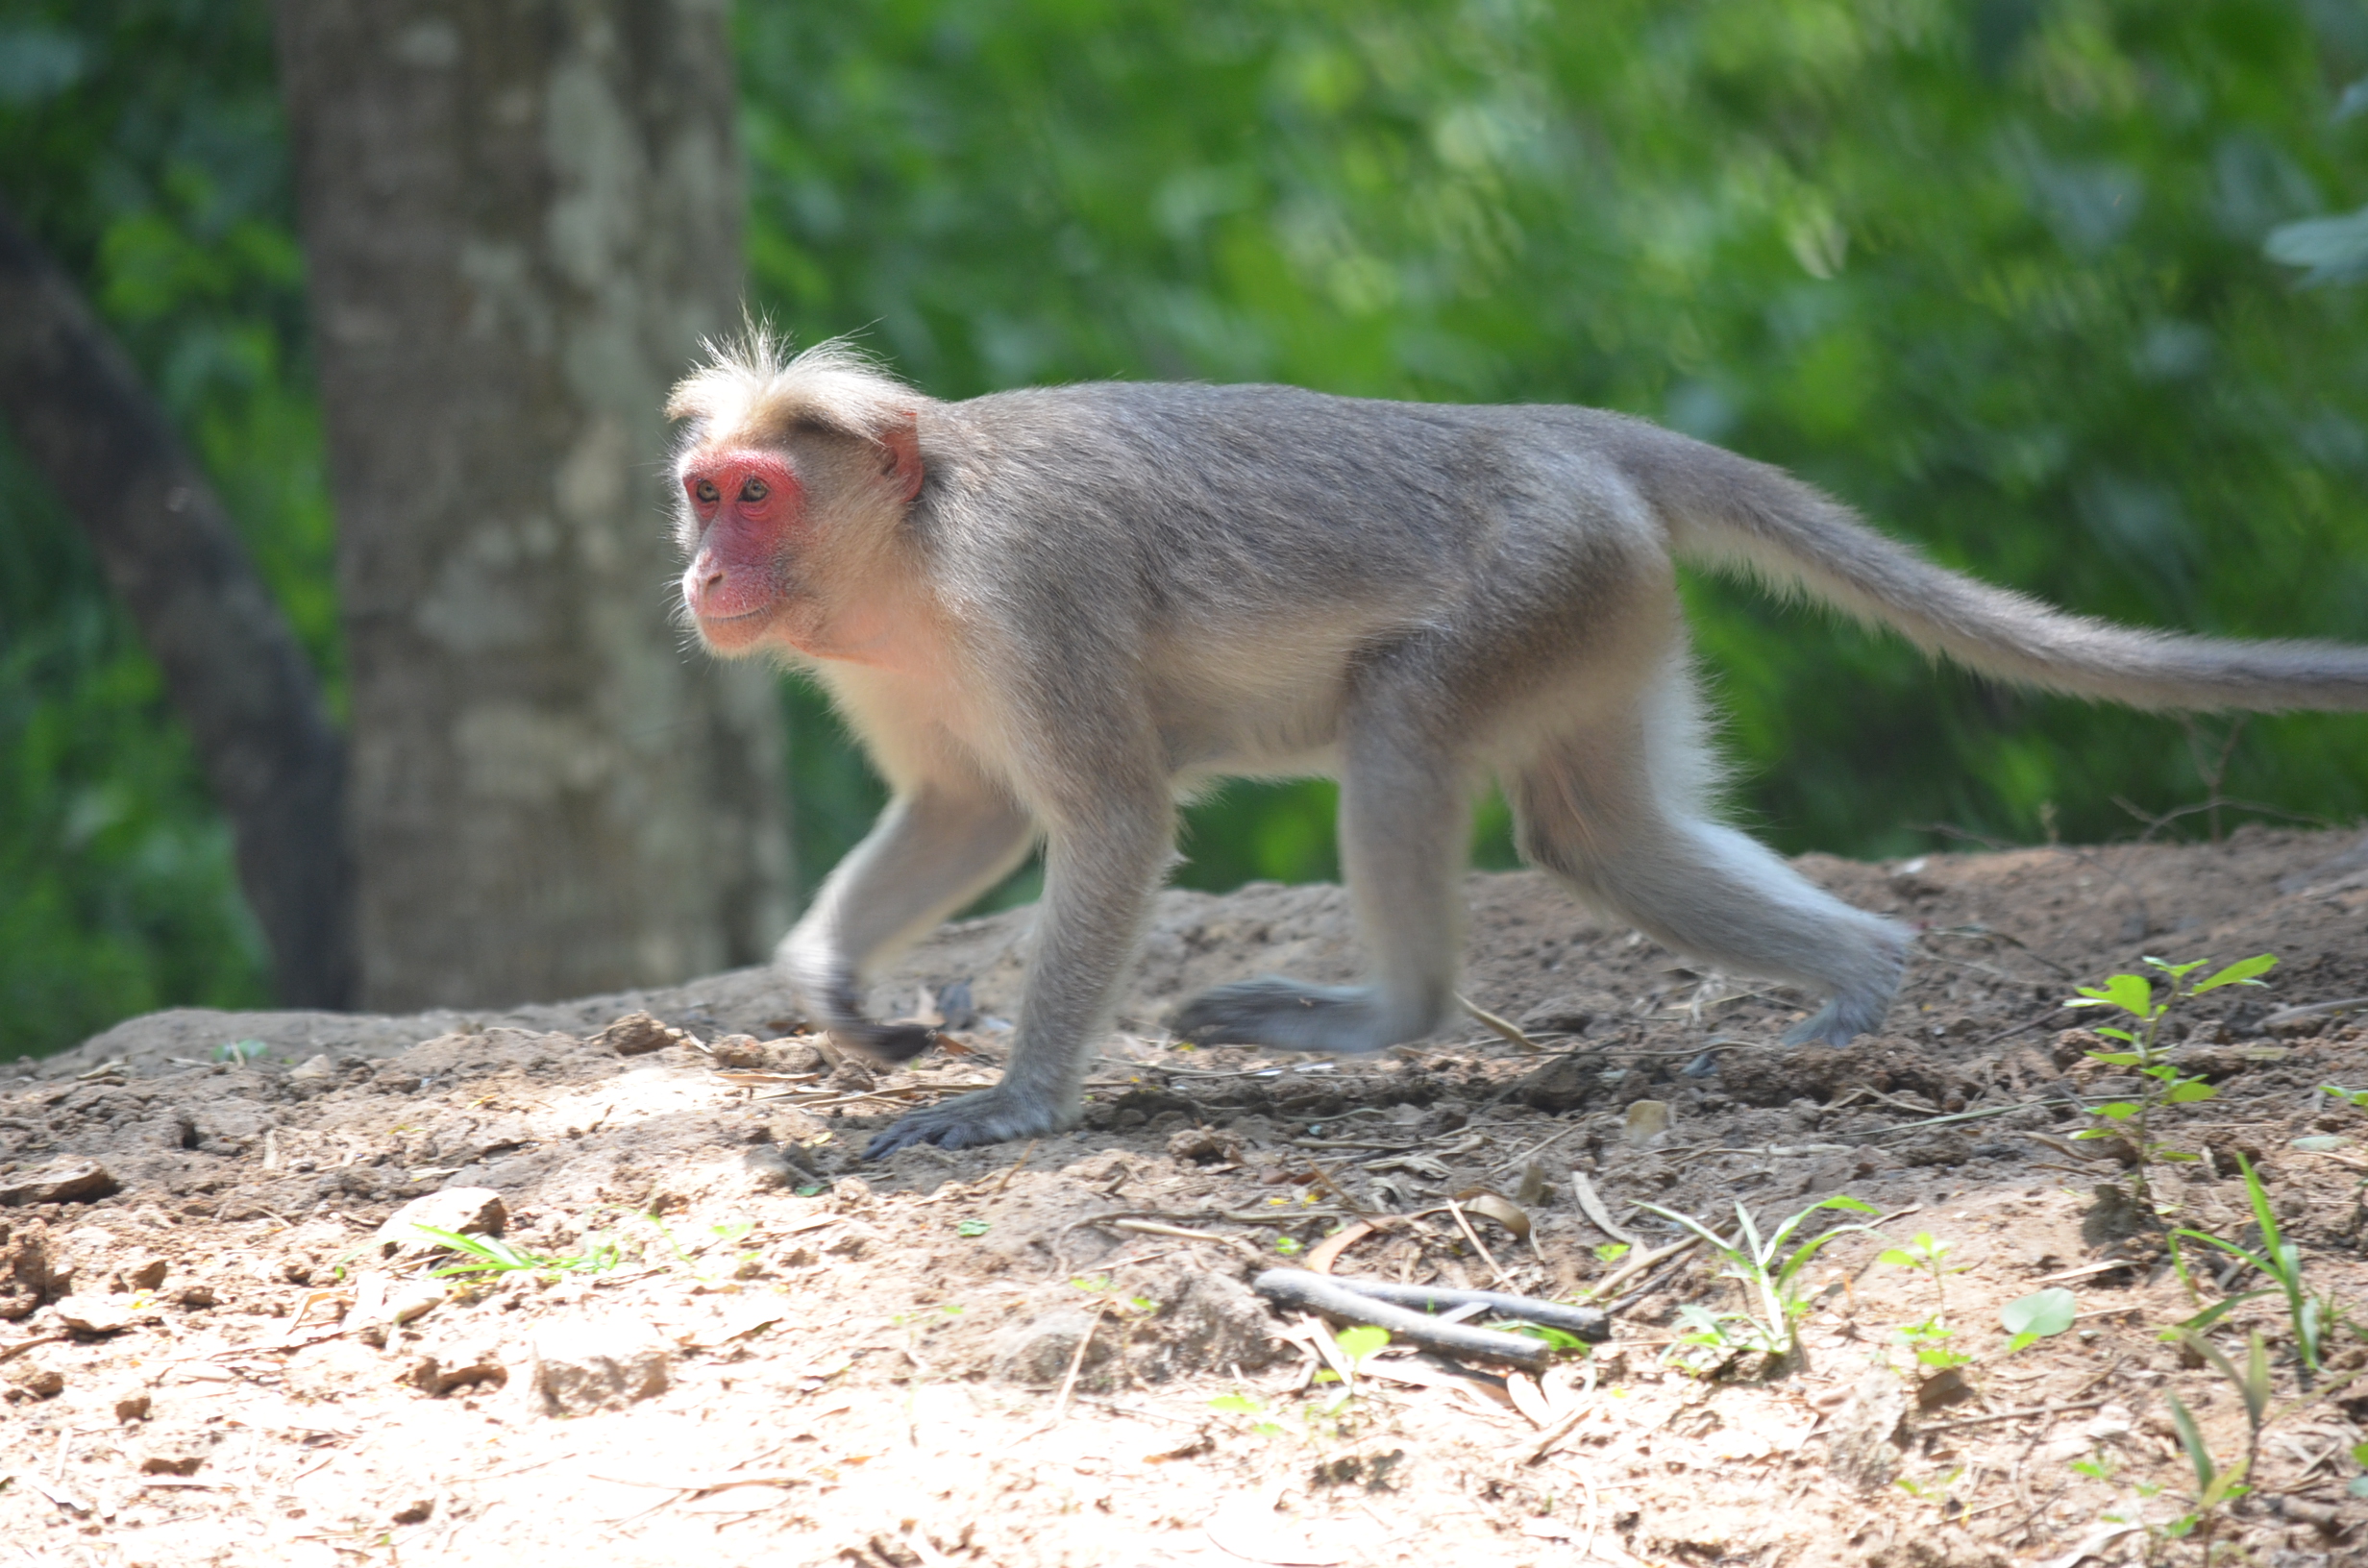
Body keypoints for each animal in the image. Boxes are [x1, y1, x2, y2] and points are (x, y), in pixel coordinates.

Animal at [662, 331, 2368, 1160]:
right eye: (706, 494)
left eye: (757, 495)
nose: (704, 574)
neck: (915, 547)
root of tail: (1550, 432)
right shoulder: (889, 663)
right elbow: (965, 812)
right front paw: (831, 984)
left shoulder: (1031, 585)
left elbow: (1114, 822)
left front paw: (1017, 1105)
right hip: (1603, 608)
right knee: (1595, 834)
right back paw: (1863, 975)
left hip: (1532, 585)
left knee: (1400, 731)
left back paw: (1392, 1015)